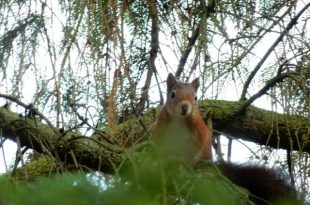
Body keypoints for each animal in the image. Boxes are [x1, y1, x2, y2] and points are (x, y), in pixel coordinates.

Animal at [152, 73, 298, 205]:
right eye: (172, 95)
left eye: (195, 97)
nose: (185, 107)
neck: (180, 120)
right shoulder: (161, 129)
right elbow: (159, 147)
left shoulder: (198, 133)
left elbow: (194, 150)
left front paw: (184, 164)